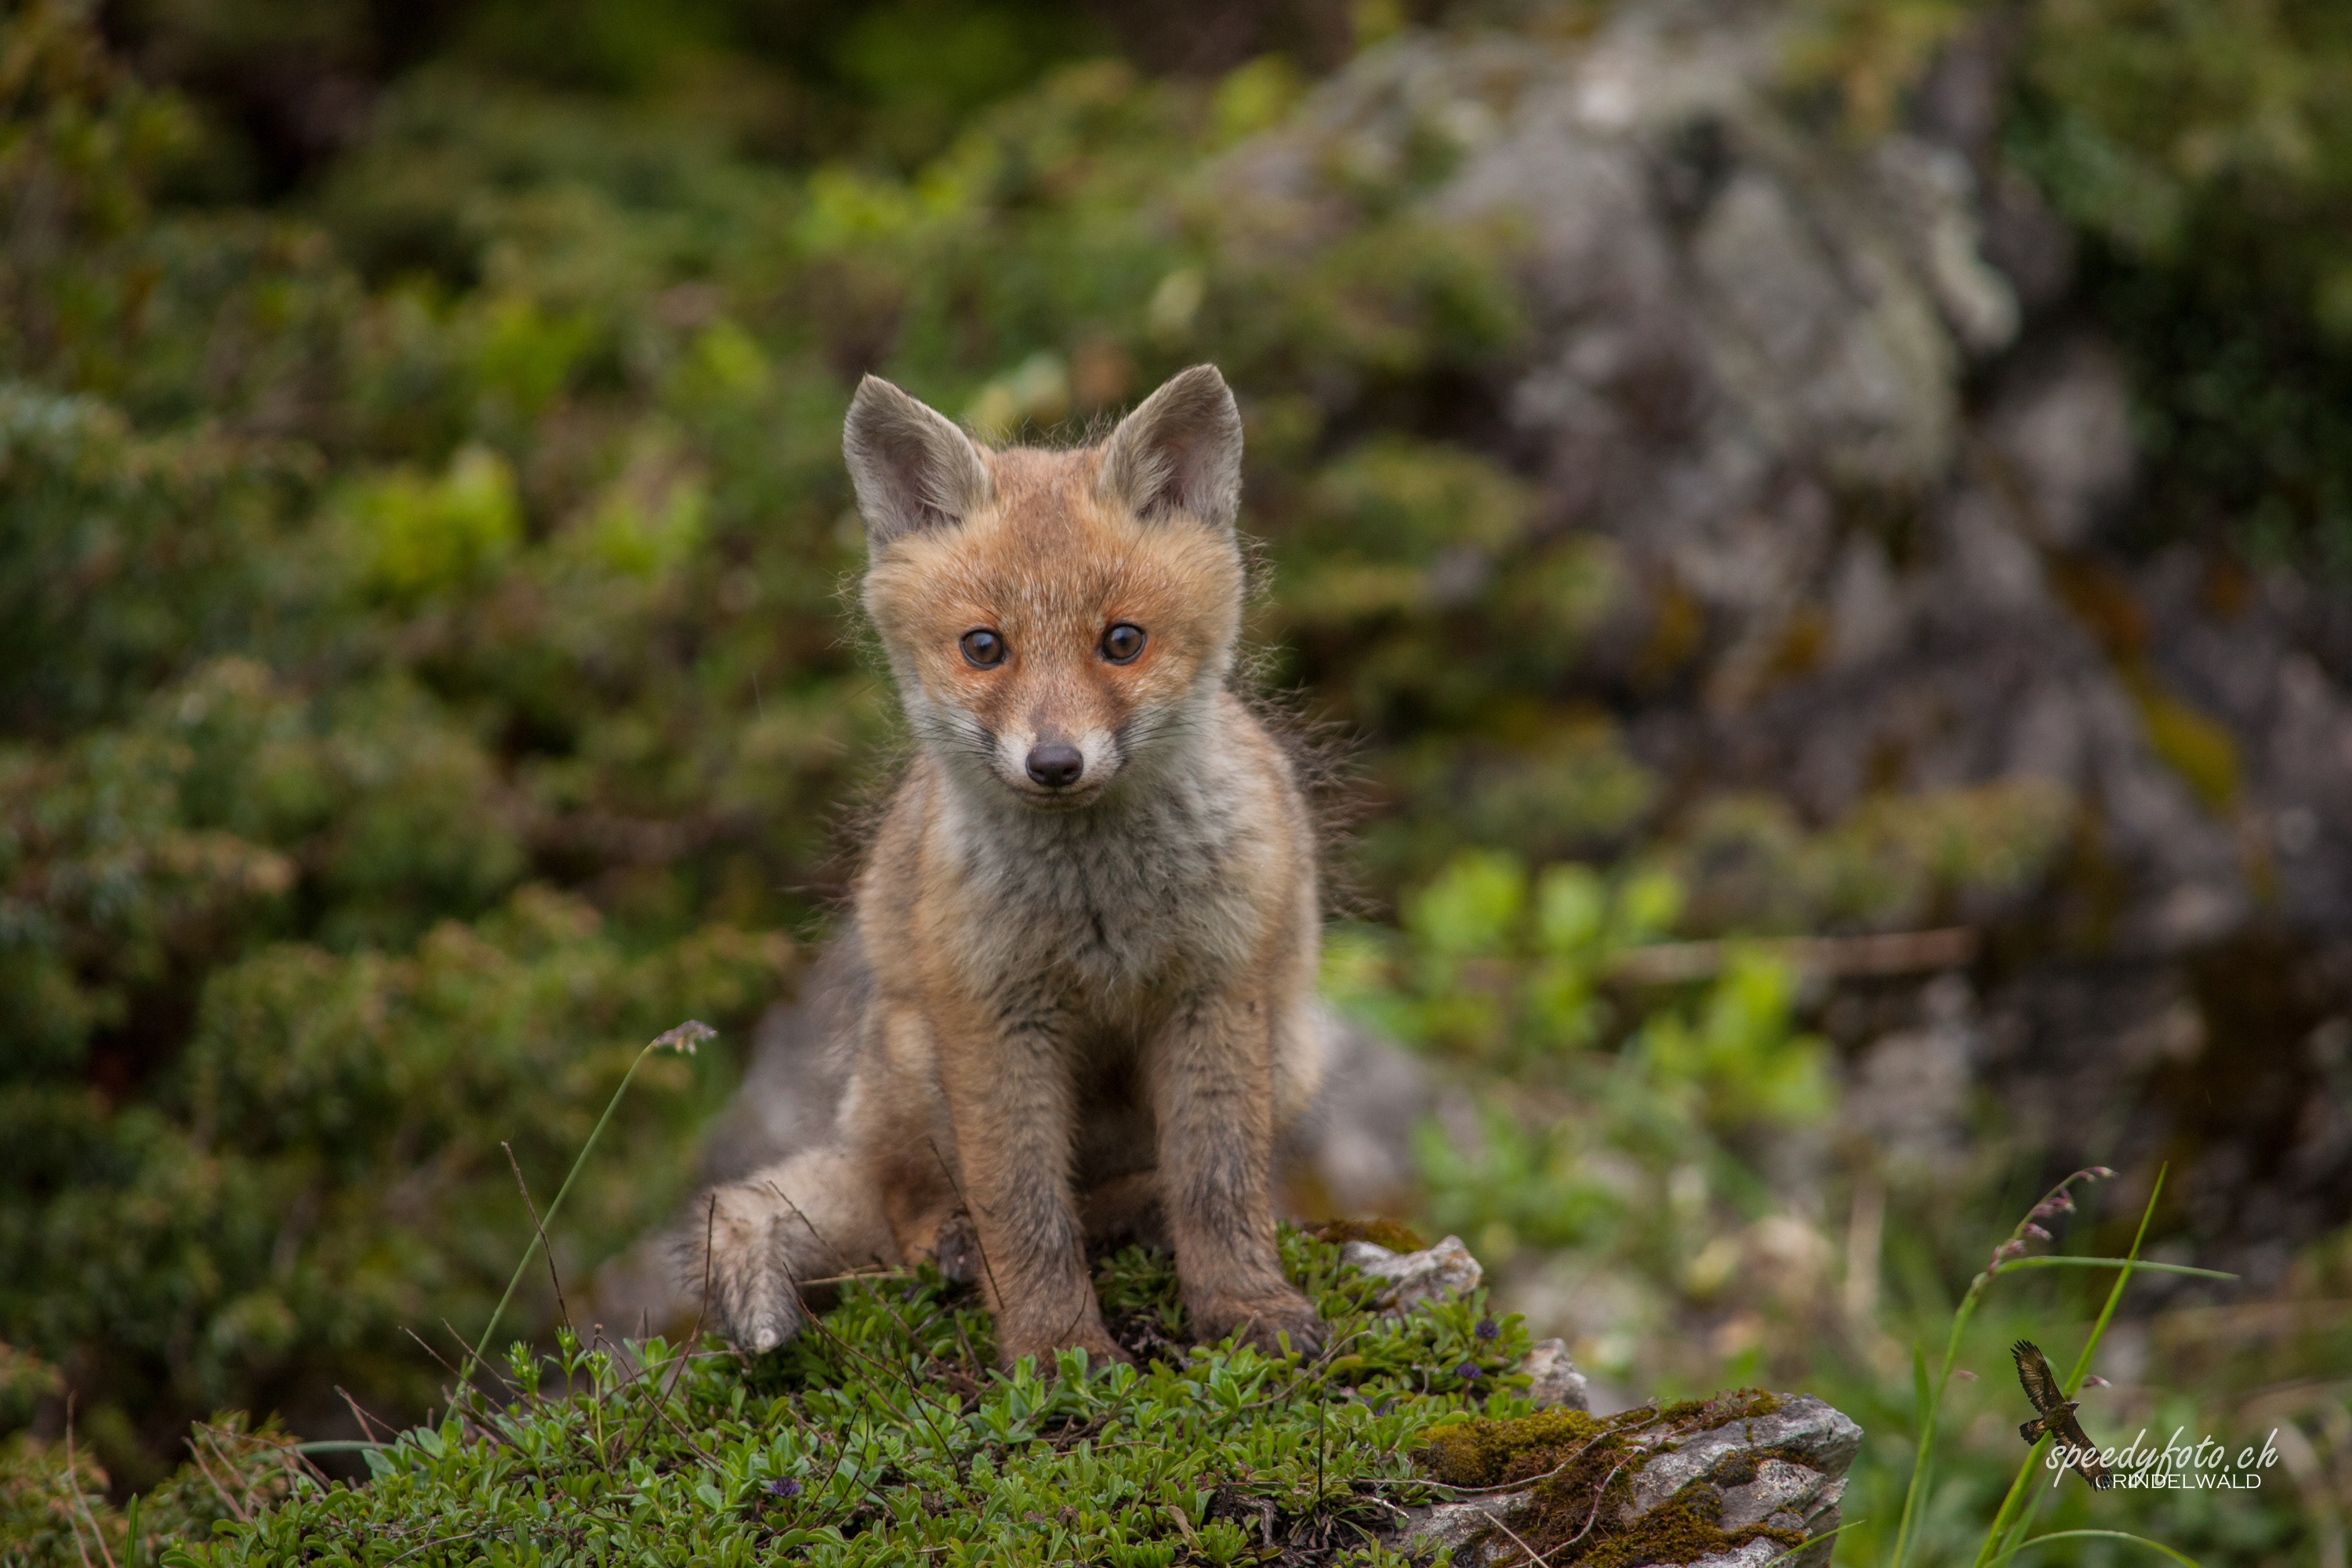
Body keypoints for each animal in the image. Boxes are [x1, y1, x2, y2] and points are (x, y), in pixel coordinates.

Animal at [687, 368, 1336, 1373]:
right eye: (984, 647)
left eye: (1122, 641)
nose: (1056, 762)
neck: (1100, 912)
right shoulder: (994, 1019)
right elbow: (1026, 1217)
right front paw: (1059, 1349)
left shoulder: (1214, 993)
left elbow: (1219, 1187)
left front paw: (1246, 1305)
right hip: (914, 1058)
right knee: (906, 1208)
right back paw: (952, 1241)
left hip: (1293, 1049)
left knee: (1131, 1190)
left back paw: (1136, 1212)